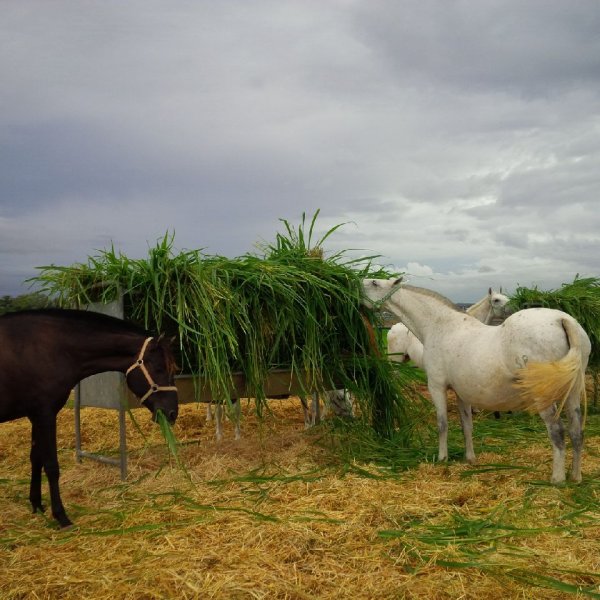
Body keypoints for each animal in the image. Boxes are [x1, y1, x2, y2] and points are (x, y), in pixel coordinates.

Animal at [0, 310, 178, 524]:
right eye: (159, 369)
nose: (172, 412)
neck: (48, 349)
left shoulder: (35, 415)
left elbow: (36, 459)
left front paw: (37, 505)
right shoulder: (46, 414)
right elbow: (51, 466)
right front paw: (61, 517)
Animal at [364, 280, 588, 482]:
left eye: (374, 283)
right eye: (497, 299)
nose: (357, 287)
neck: (440, 326)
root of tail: (562, 319)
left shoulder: (436, 386)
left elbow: (442, 424)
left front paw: (442, 458)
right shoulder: (462, 392)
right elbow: (467, 425)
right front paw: (470, 458)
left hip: (544, 397)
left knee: (557, 432)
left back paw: (557, 479)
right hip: (572, 393)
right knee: (576, 432)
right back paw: (575, 477)